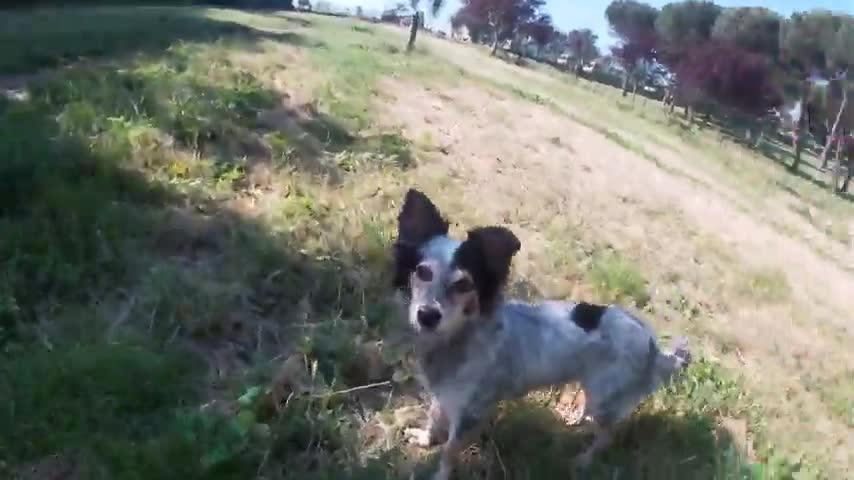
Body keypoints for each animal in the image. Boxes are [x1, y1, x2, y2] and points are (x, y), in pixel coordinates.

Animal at [394, 189, 696, 478]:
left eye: (464, 284)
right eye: (423, 272)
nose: (427, 316)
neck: (460, 337)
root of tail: (651, 341)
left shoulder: (470, 413)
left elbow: (448, 452)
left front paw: (439, 473)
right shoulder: (443, 394)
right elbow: (433, 419)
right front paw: (424, 439)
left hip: (604, 396)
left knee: (606, 435)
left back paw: (583, 461)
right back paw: (576, 421)